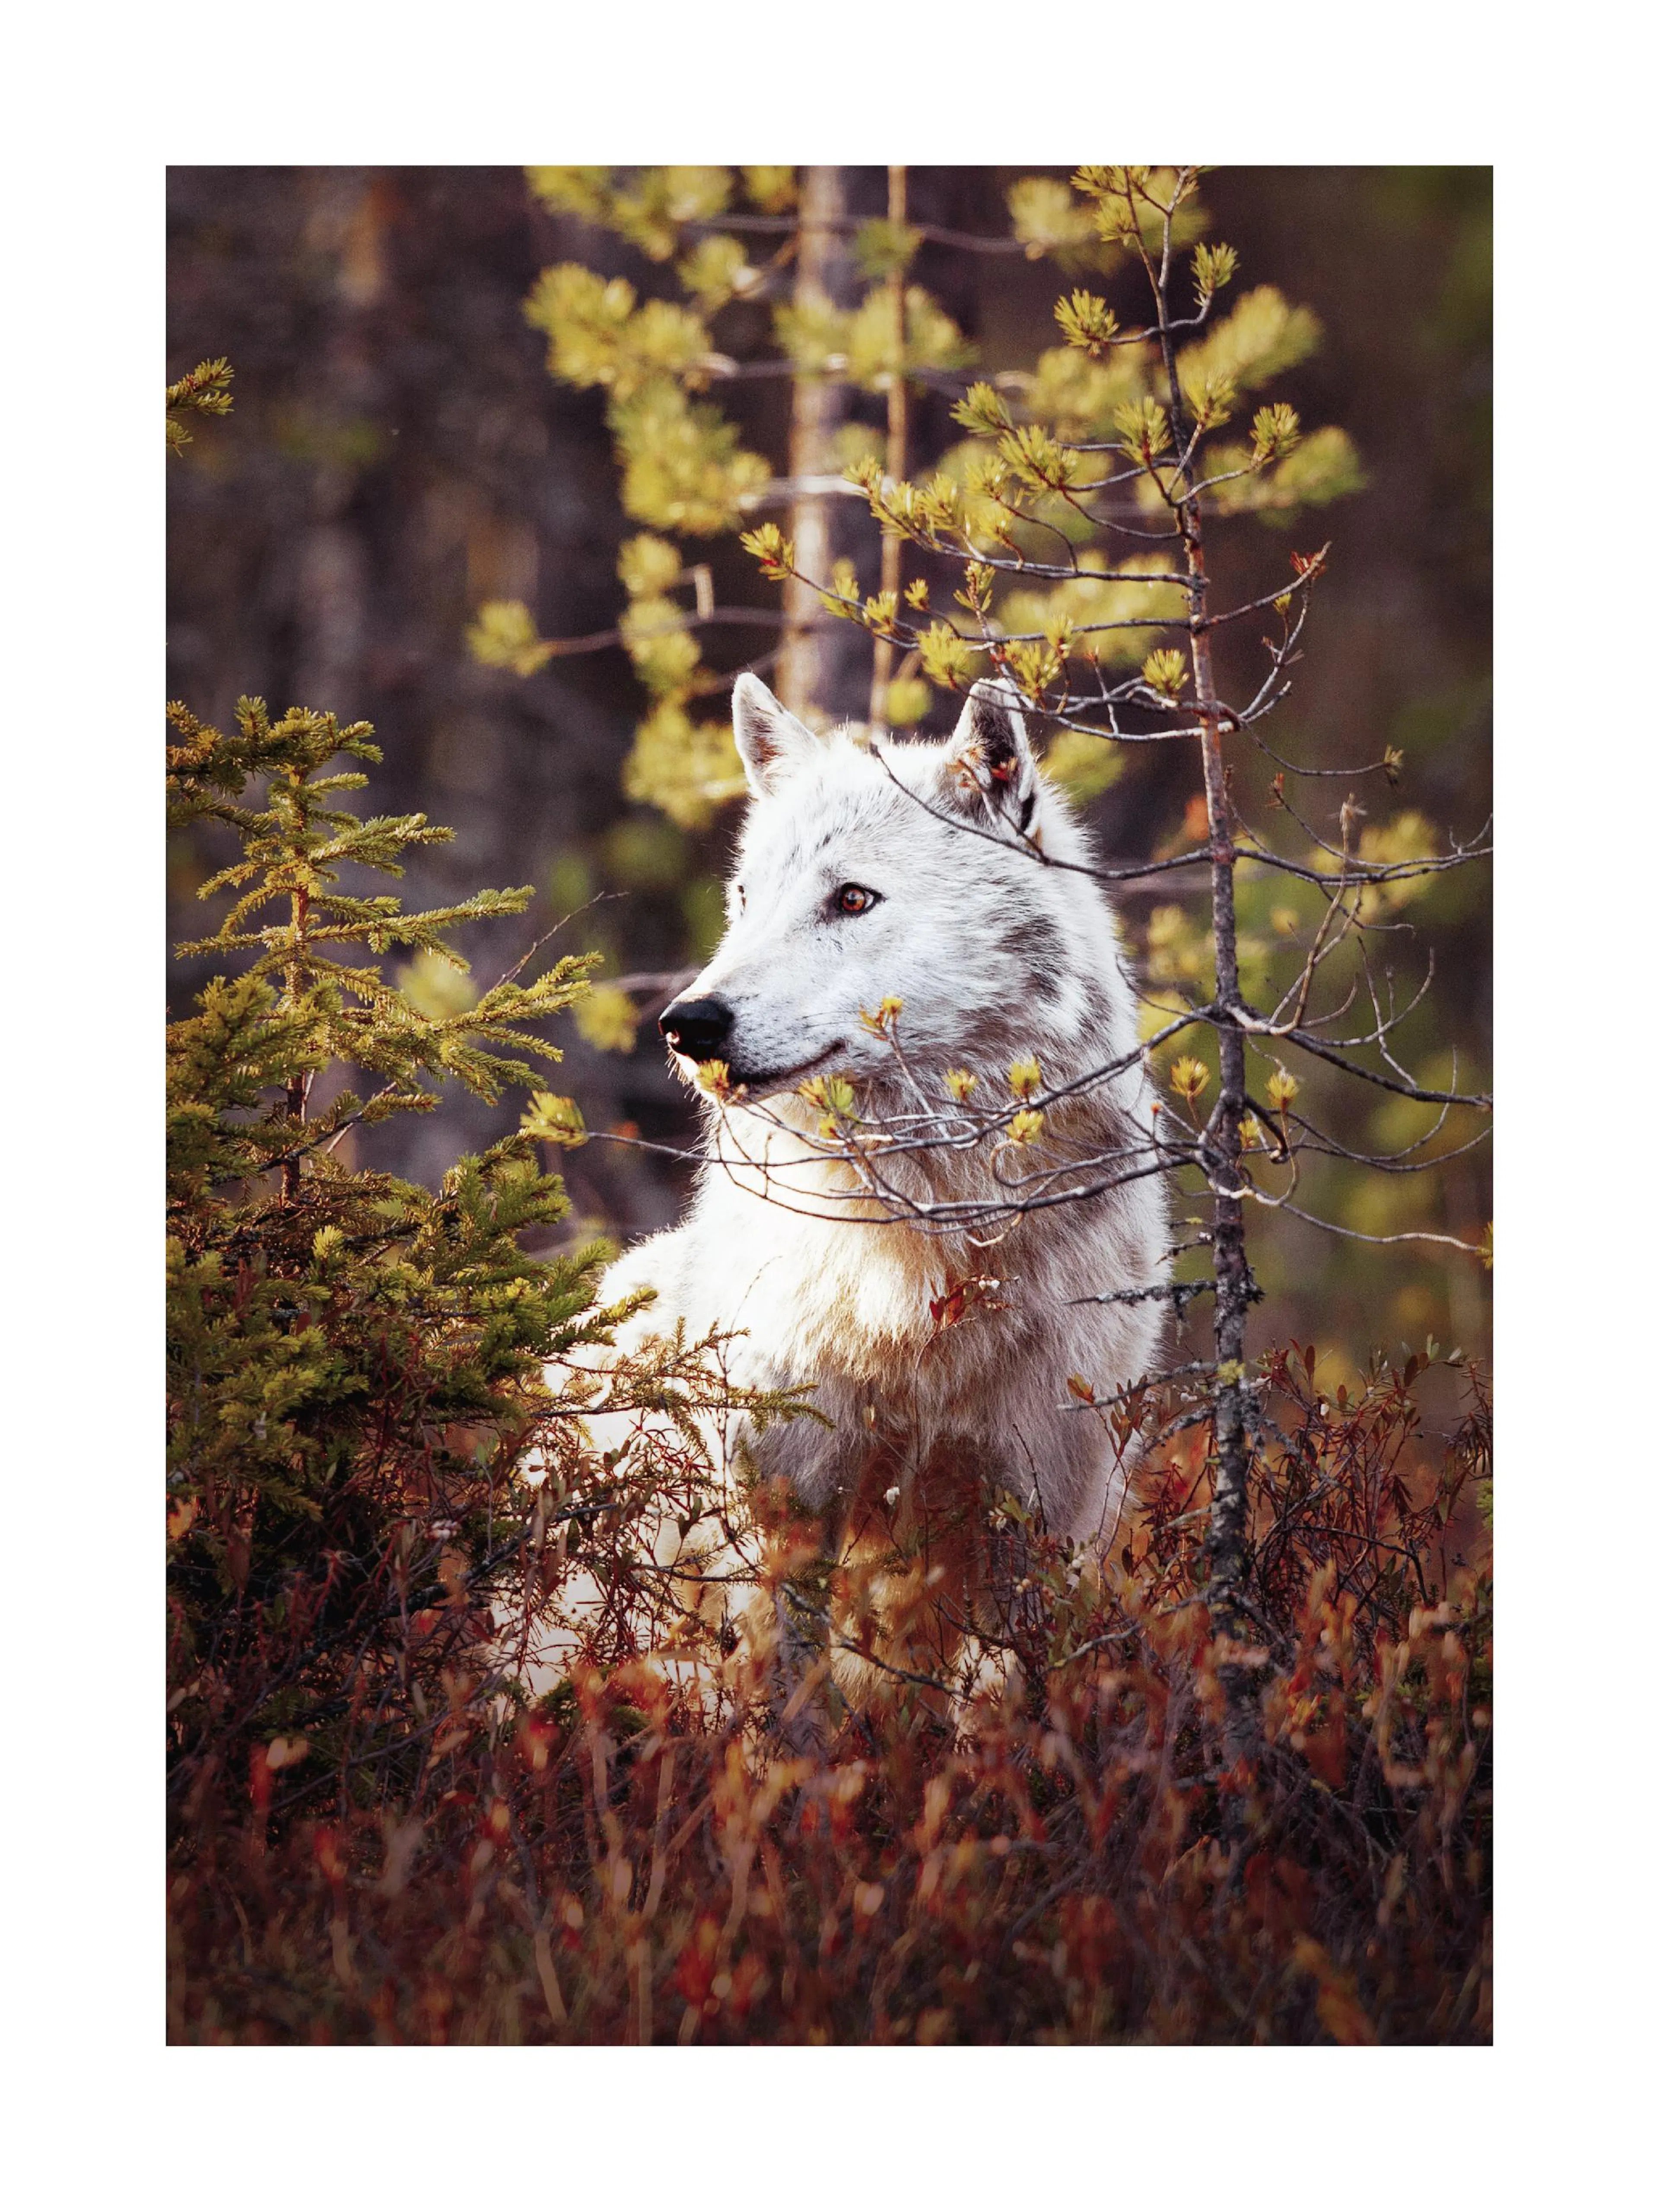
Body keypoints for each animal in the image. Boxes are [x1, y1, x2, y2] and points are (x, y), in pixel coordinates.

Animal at [558, 674, 1170, 1693]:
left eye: (852, 899)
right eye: (745, 898)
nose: (688, 1023)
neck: (926, 1242)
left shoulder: (1037, 1524)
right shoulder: (785, 1514)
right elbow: (786, 1713)